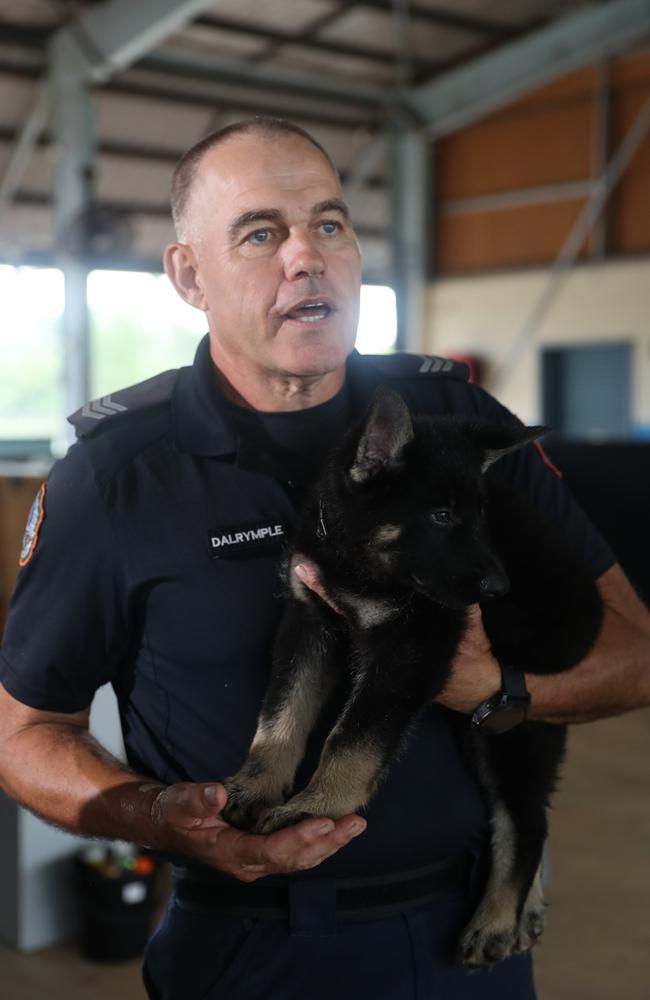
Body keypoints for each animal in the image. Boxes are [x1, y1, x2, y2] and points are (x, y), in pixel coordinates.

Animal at [224, 384, 604, 968]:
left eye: (481, 517)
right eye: (443, 515)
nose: (500, 588)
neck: (356, 564)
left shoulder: (413, 648)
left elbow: (353, 736)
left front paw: (316, 806)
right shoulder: (308, 624)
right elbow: (281, 712)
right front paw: (257, 783)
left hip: (511, 728)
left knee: (525, 819)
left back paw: (496, 920)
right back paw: (525, 910)